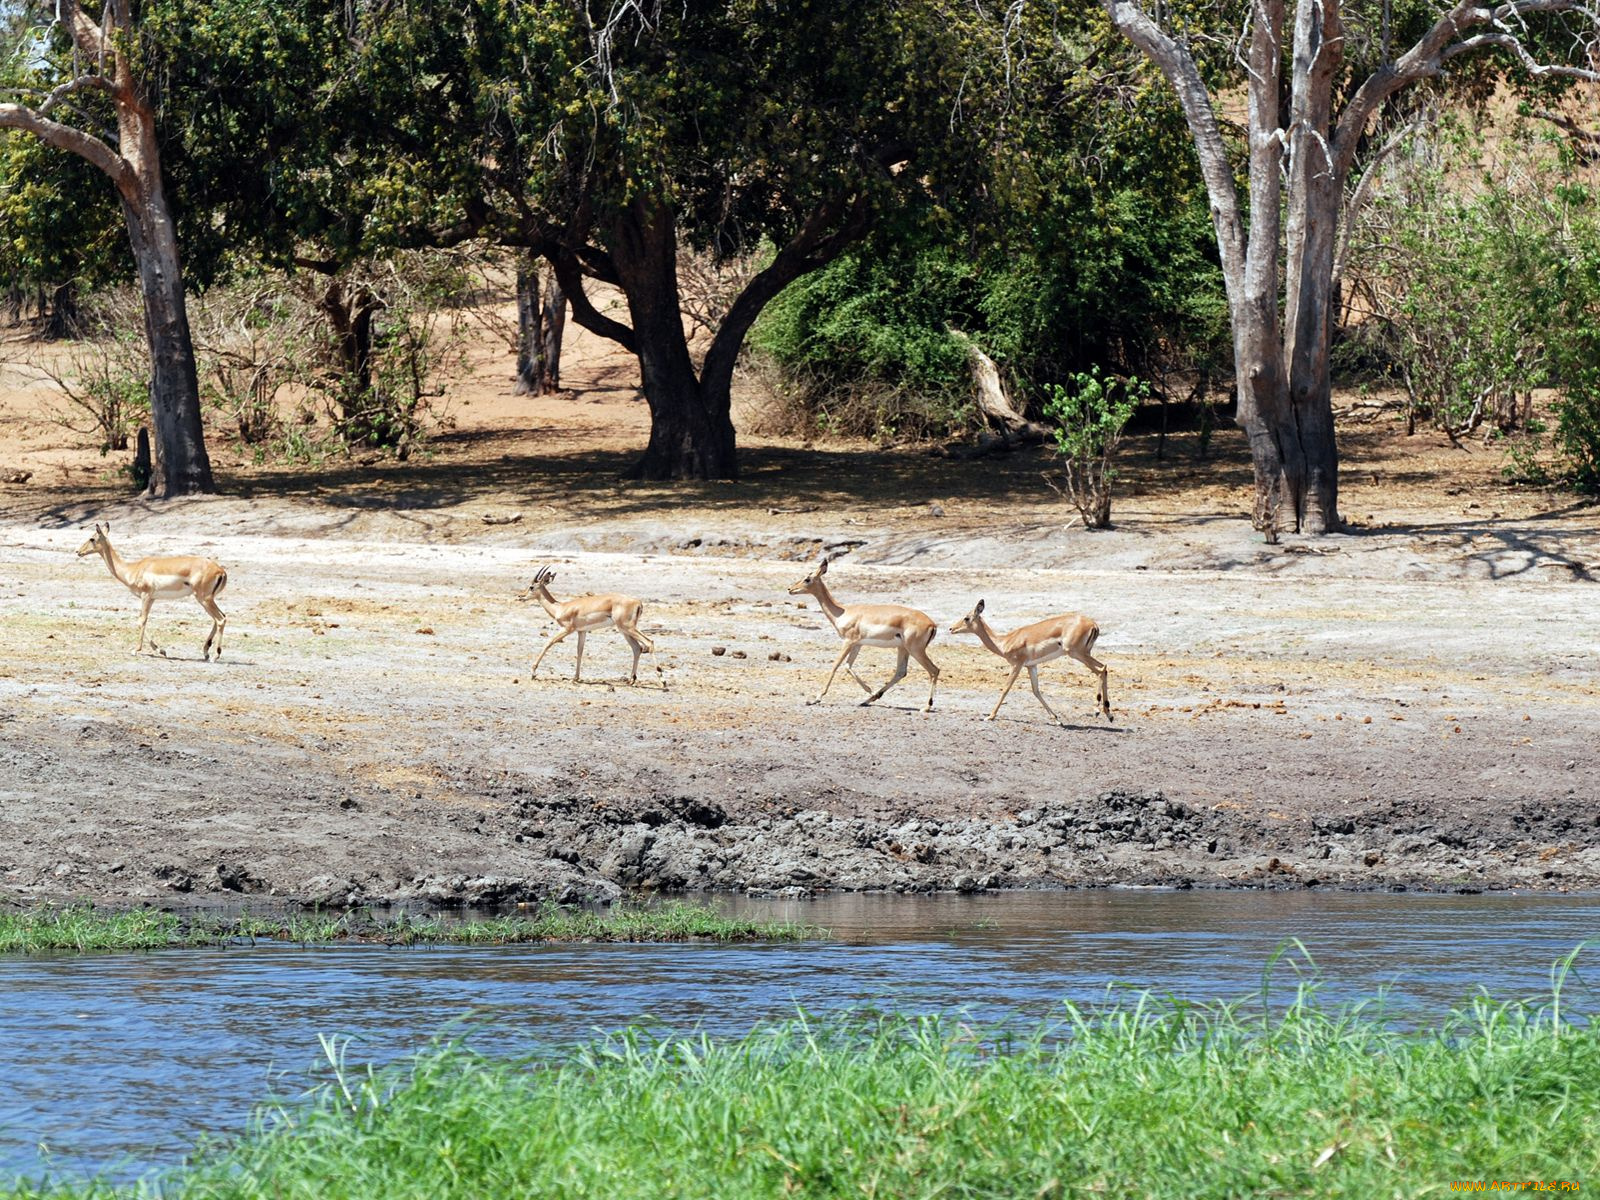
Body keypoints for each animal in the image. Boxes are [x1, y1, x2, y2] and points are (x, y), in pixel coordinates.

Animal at [76, 524, 228, 662]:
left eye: (92, 538)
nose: (78, 551)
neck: (132, 569)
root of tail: (220, 570)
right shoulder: (152, 598)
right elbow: (142, 620)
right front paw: (161, 651)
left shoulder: (146, 596)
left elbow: (141, 620)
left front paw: (135, 650)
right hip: (206, 600)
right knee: (218, 618)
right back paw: (206, 652)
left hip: (204, 599)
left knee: (221, 619)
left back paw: (215, 656)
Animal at [518, 569, 656, 691]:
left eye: (531, 587)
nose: (520, 596)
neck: (560, 608)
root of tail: (638, 602)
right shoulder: (581, 631)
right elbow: (579, 651)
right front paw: (575, 678)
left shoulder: (567, 629)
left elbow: (548, 643)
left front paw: (533, 672)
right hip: (624, 630)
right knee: (637, 648)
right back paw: (631, 680)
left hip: (628, 628)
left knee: (649, 642)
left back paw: (660, 681)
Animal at [784, 556, 934, 710]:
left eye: (807, 579)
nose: (790, 589)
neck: (843, 612)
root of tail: (932, 624)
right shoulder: (858, 644)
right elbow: (848, 666)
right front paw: (870, 690)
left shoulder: (848, 641)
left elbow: (835, 665)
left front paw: (816, 699)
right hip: (903, 648)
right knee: (901, 672)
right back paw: (869, 699)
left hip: (915, 650)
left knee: (934, 671)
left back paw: (926, 707)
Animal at [940, 598, 1107, 723]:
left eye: (966, 618)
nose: (951, 629)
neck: (1004, 641)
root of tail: (1093, 624)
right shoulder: (1031, 666)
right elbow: (1036, 690)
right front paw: (1056, 719)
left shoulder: (1017, 665)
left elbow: (1006, 688)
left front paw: (990, 716)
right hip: (1084, 654)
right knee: (1105, 668)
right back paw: (1108, 713)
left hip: (1077, 654)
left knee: (1100, 670)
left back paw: (1097, 711)